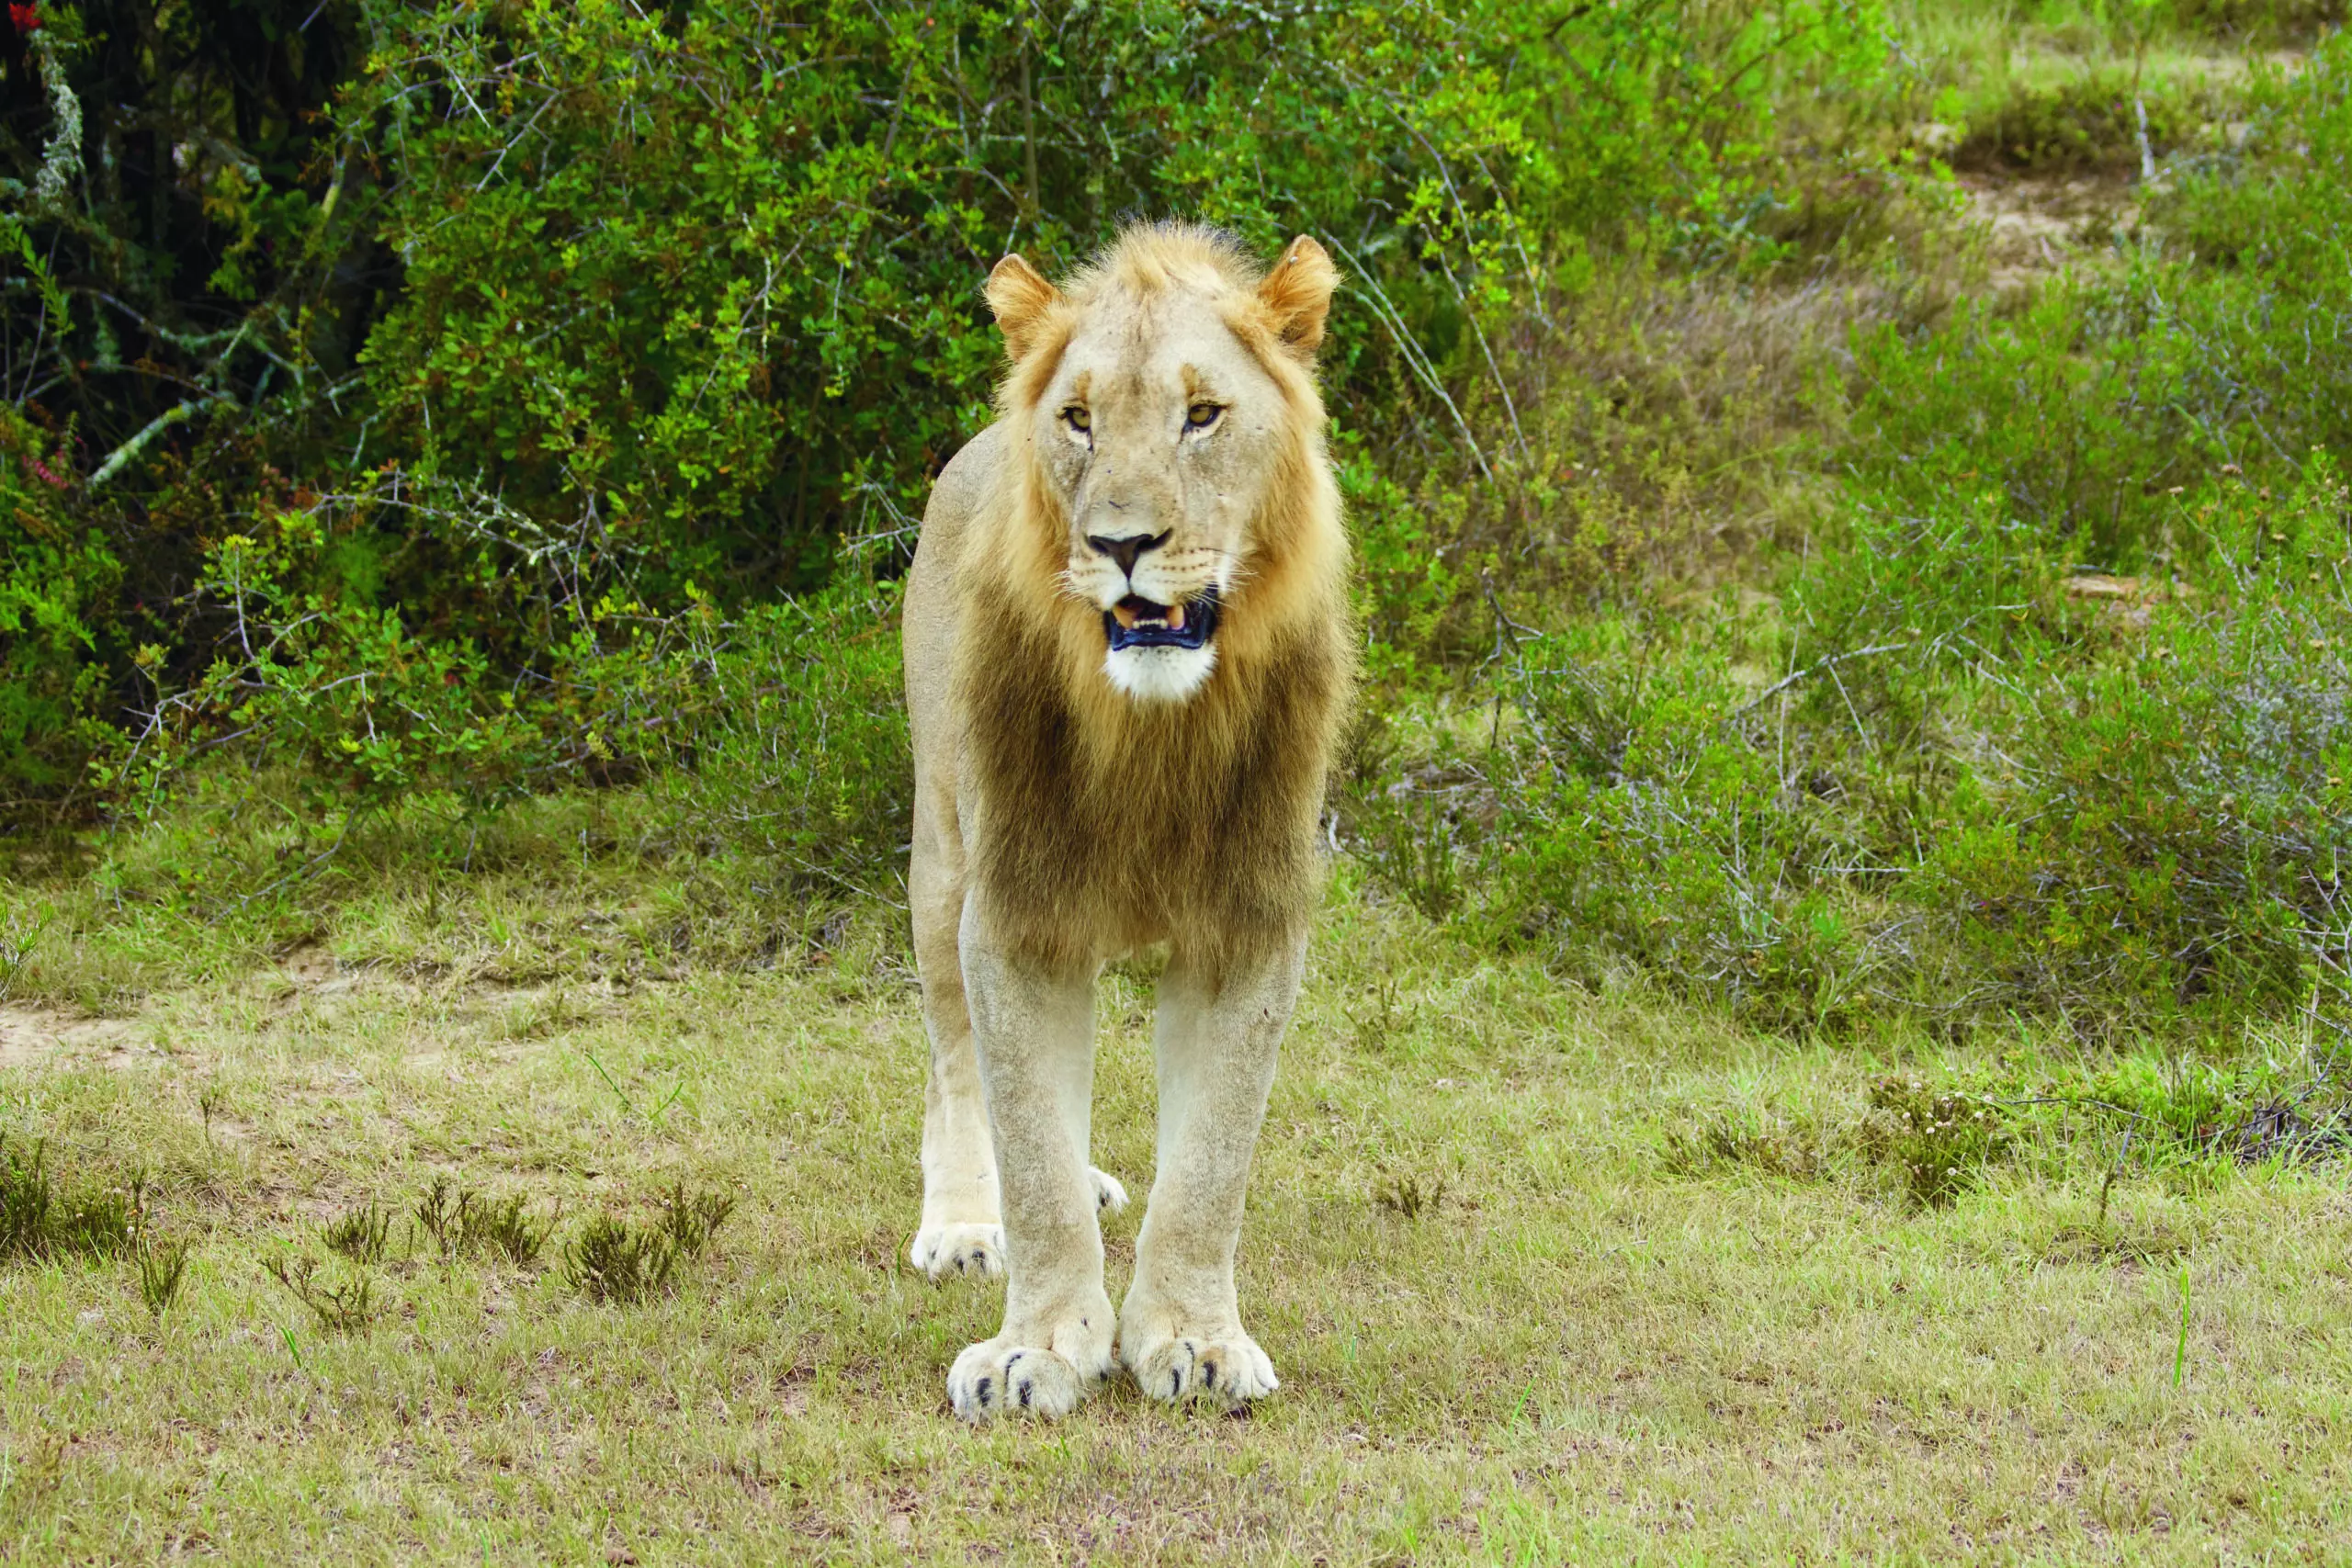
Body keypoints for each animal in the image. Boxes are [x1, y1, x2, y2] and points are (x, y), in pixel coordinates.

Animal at [898, 223, 1354, 1419]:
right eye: (1079, 420)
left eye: (1201, 414)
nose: (1121, 543)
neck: (1154, 735)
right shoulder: (1014, 912)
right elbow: (1032, 1159)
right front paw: (1038, 1349)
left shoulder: (1248, 925)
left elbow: (1208, 1166)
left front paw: (1193, 1340)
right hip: (940, 859)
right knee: (955, 1059)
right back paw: (965, 1223)